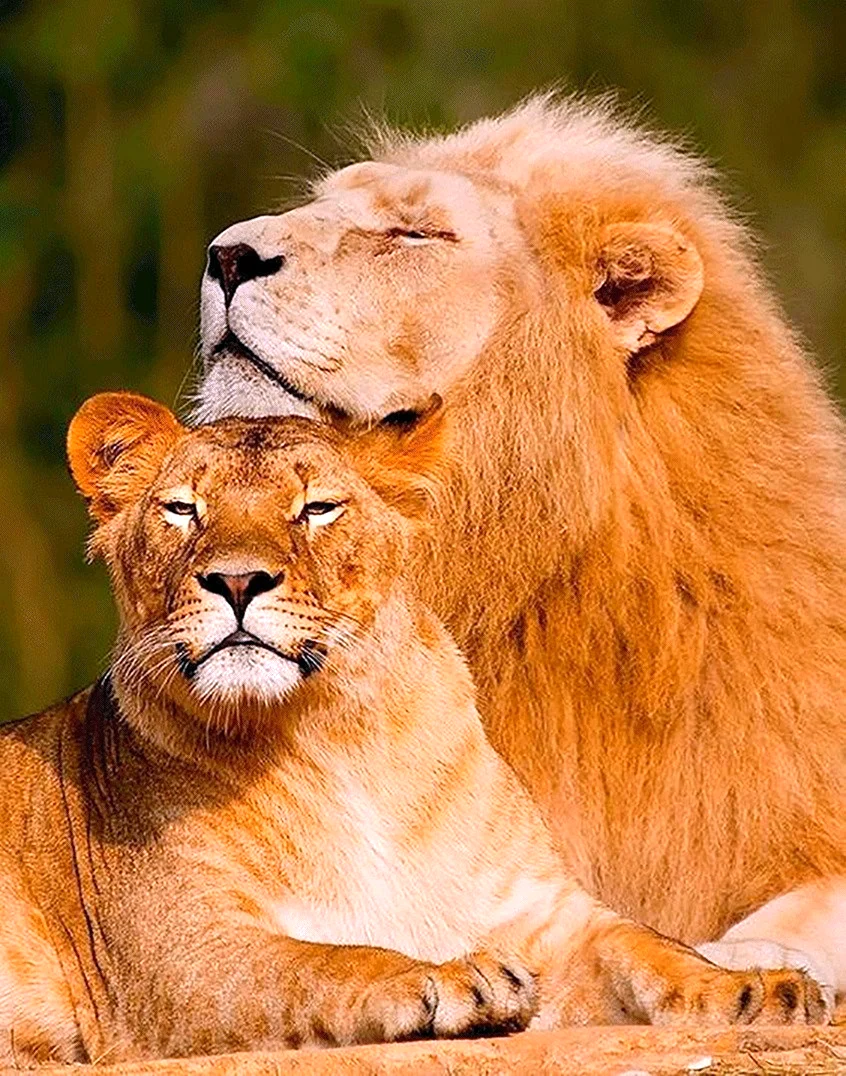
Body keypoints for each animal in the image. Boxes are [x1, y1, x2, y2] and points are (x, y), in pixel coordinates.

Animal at [0, 392, 823, 1067]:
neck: (341, 740)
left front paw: (761, 989)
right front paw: (448, 978)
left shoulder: (539, 913)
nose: (236, 580)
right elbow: (327, 961)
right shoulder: (180, 961)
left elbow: (650, 945)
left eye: (317, 508)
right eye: (182, 510)